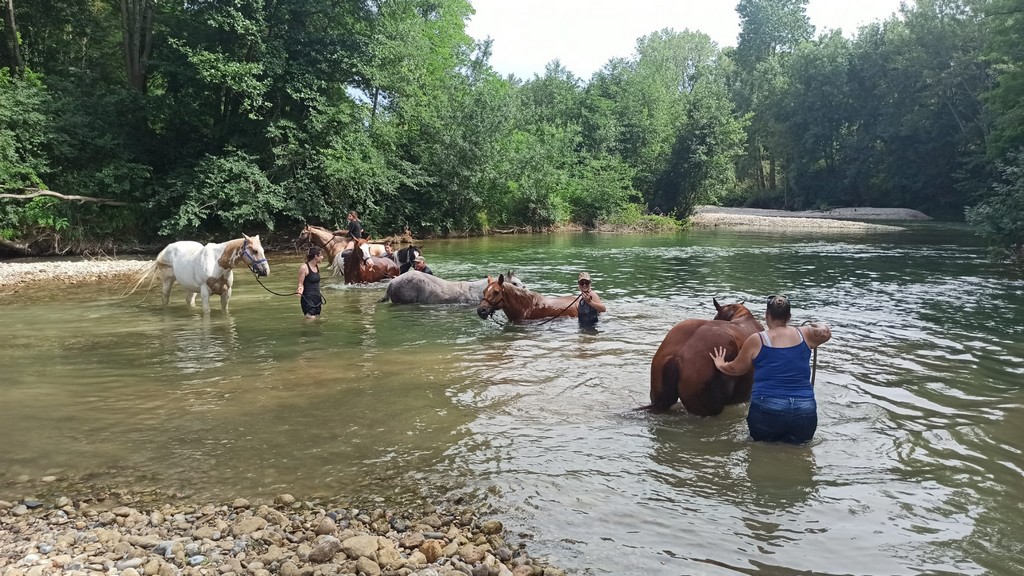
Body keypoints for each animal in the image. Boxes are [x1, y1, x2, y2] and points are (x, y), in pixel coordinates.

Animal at [126, 234, 270, 314]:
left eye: (262, 250)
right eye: (255, 251)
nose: (266, 271)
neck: (217, 263)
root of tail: (166, 248)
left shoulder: (226, 292)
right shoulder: (205, 292)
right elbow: (207, 312)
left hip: (191, 287)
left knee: (189, 301)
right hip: (168, 281)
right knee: (165, 299)